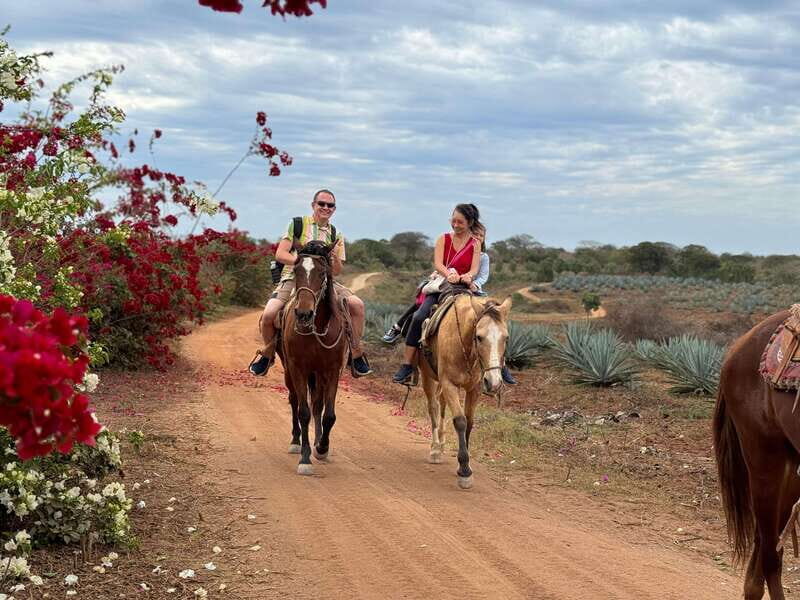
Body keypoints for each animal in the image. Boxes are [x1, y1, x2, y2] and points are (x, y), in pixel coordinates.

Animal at [276, 240, 349, 476]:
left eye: (322, 272)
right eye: (297, 270)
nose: (303, 314)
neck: (317, 327)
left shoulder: (332, 371)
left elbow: (328, 414)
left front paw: (322, 448)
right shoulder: (298, 368)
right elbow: (303, 412)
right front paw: (305, 459)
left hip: (318, 375)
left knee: (318, 405)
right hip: (290, 371)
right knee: (294, 401)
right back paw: (295, 441)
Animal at [418, 293, 511, 489]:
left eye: (506, 338)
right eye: (479, 337)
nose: (494, 382)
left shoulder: (474, 389)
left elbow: (469, 422)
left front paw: (465, 463)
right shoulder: (449, 384)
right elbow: (460, 421)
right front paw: (464, 471)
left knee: (441, 405)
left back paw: (442, 444)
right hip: (428, 377)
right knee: (433, 407)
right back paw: (435, 449)